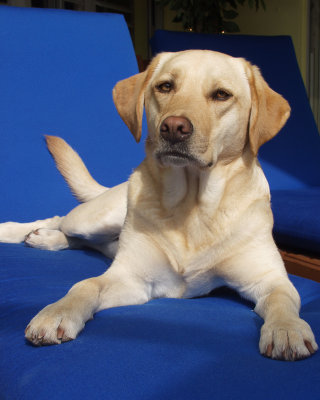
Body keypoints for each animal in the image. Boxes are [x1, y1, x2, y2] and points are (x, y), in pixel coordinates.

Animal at [0, 49, 316, 360]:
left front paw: (287, 329)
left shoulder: (269, 278)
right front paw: (58, 312)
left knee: (83, 241)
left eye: (221, 95)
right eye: (165, 86)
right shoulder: (130, 277)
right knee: (60, 220)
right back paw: (24, 233)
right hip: (95, 218)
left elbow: (283, 299)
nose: (174, 127)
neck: (193, 207)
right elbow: (85, 285)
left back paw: (47, 239)